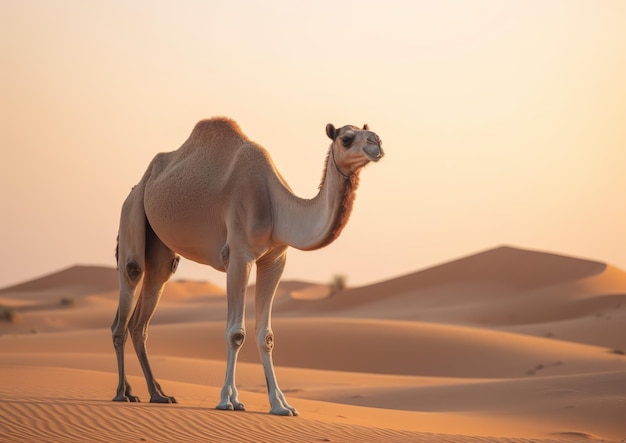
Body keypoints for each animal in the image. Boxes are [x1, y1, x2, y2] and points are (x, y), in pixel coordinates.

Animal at [112, 117, 382, 416]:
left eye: (371, 133)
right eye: (346, 138)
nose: (376, 143)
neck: (277, 207)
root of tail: (139, 185)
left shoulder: (275, 259)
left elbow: (267, 336)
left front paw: (281, 405)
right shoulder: (239, 256)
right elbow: (235, 333)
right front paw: (228, 400)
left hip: (160, 248)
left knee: (142, 318)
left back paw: (157, 394)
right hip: (131, 212)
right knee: (129, 285)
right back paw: (123, 393)